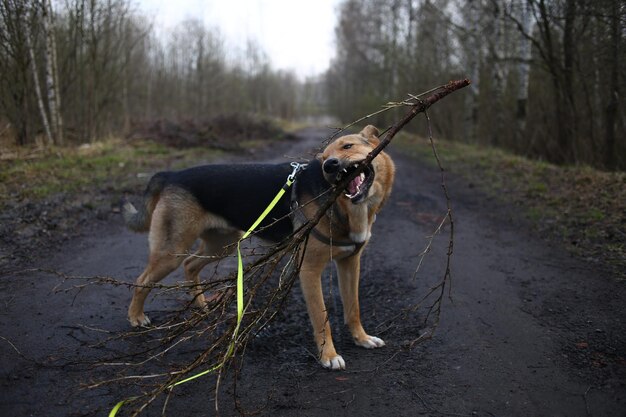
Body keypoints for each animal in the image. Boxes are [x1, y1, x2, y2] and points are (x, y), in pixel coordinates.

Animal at [122, 124, 392, 368]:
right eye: (324, 159)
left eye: (348, 146)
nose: (330, 165)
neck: (347, 206)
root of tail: (170, 175)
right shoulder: (309, 270)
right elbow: (321, 318)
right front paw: (329, 356)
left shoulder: (350, 263)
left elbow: (353, 308)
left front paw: (362, 339)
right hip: (171, 252)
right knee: (142, 280)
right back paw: (136, 317)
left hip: (223, 245)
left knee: (190, 265)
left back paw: (201, 305)